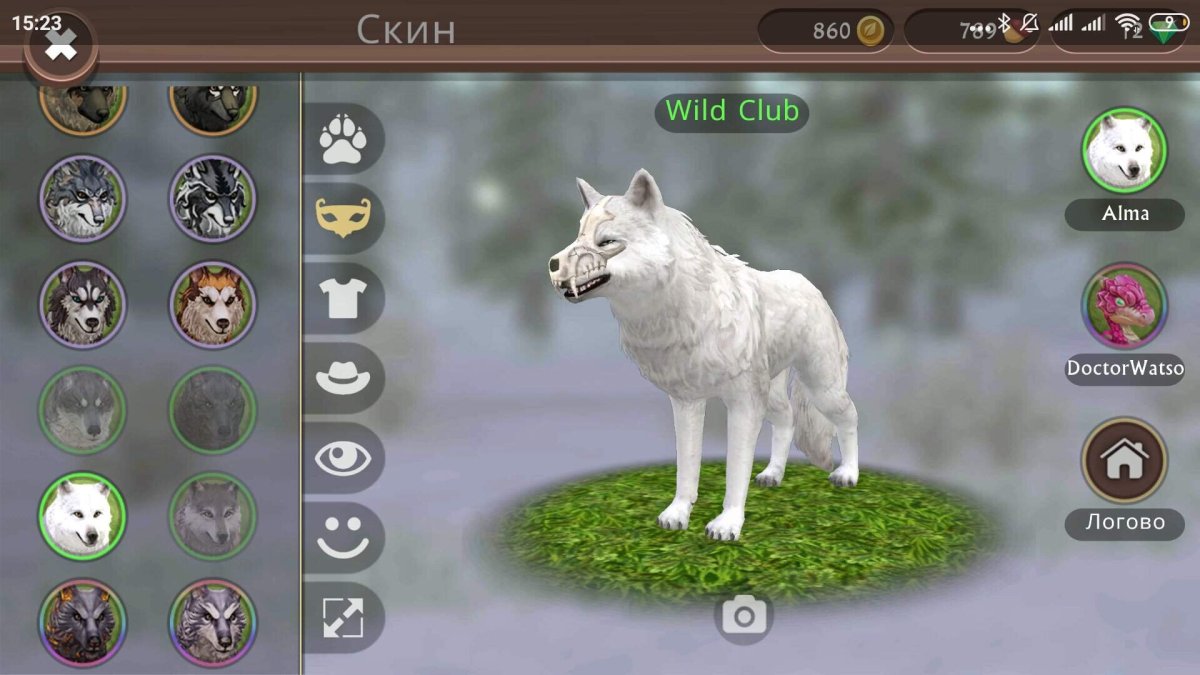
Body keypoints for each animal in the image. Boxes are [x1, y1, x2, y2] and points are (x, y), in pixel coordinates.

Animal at [549, 170, 860, 541]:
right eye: (578, 235)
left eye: (606, 242)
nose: (552, 265)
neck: (686, 312)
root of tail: (810, 285)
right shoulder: (687, 402)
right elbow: (687, 467)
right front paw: (678, 514)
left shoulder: (743, 405)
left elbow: (735, 470)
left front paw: (727, 524)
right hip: (772, 396)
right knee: (787, 420)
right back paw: (773, 475)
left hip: (820, 388)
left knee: (850, 415)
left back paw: (848, 473)